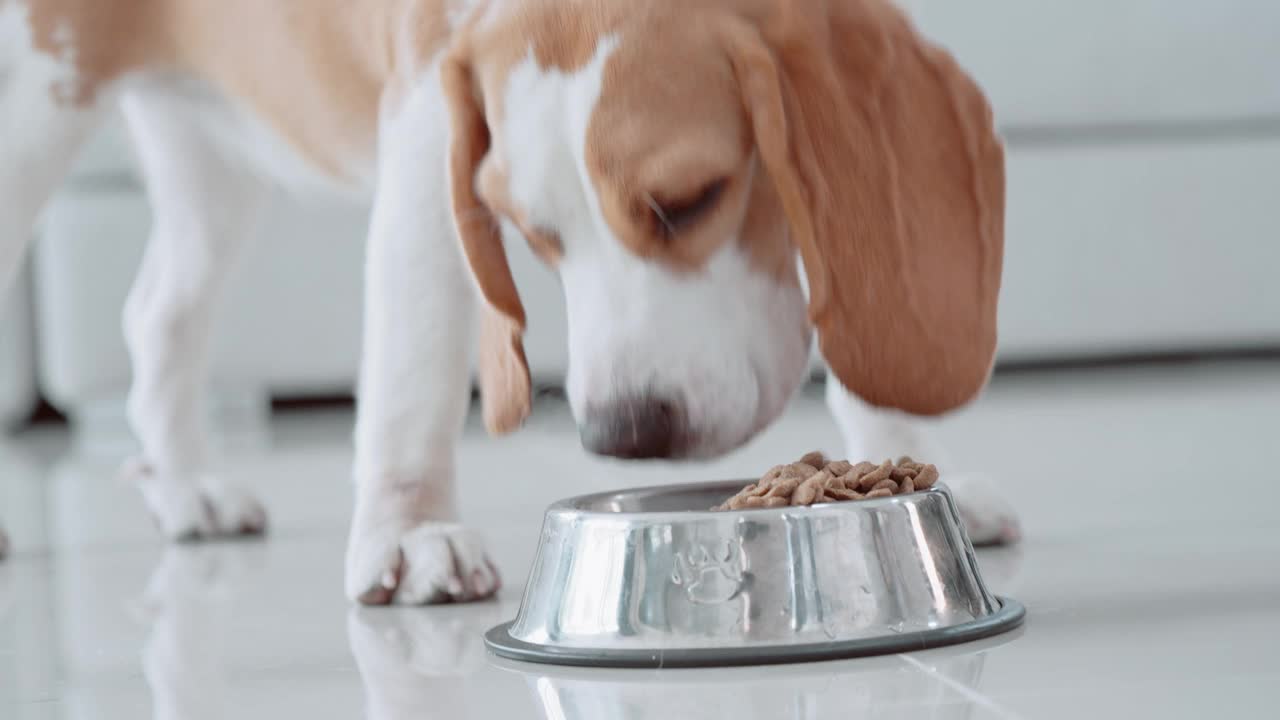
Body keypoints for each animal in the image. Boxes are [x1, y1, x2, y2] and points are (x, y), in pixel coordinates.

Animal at [5, 0, 1013, 599]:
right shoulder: (427, 148)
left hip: (208, 159)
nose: (626, 433)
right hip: (34, 119)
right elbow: (410, 378)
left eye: (691, 199)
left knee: (157, 318)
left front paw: (897, 459)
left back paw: (184, 489)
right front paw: (411, 532)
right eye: (531, 232)